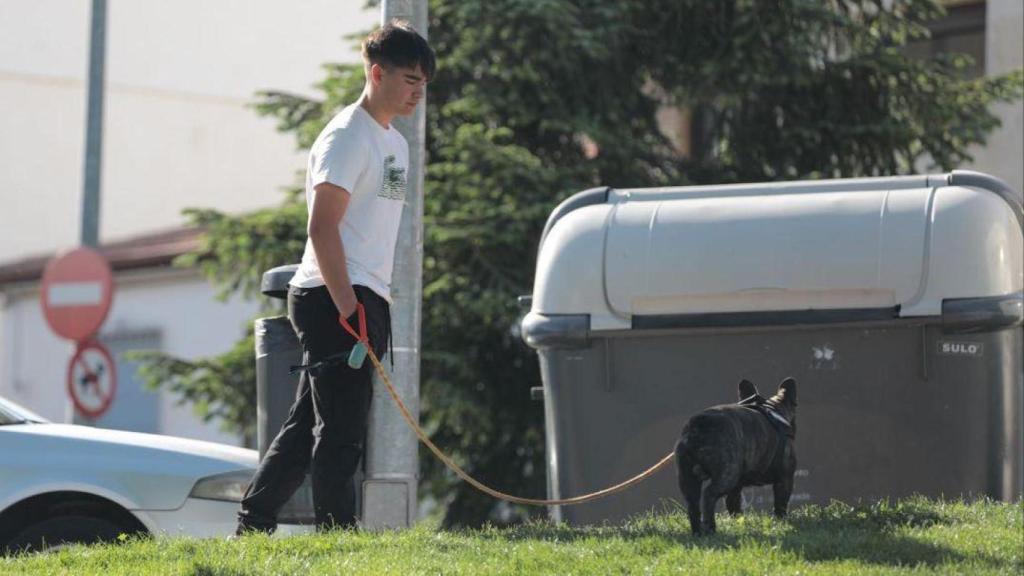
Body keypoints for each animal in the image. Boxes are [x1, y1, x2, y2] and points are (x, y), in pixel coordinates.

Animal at [671, 377, 798, 532]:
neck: (773, 410)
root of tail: (698, 425)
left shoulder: (737, 486)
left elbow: (733, 502)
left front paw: (737, 520)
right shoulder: (785, 478)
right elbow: (781, 502)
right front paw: (781, 520)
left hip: (688, 477)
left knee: (692, 504)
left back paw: (698, 532)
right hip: (727, 474)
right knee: (708, 495)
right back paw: (710, 528)